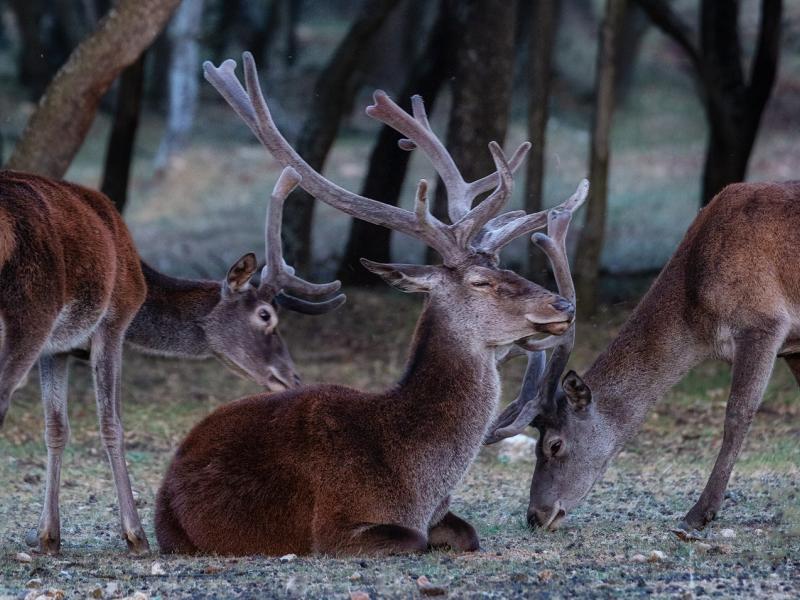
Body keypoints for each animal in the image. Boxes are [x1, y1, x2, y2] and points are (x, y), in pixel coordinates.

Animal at [0, 166, 340, 556]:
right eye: (266, 315)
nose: (292, 378)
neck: (141, 283)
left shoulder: (58, 347)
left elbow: (56, 428)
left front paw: (48, 537)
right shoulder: (113, 322)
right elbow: (112, 423)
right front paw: (136, 536)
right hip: (31, 310)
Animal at [152, 52, 588, 556]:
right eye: (481, 281)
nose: (563, 304)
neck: (417, 478)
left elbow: (469, 532)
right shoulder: (336, 525)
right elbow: (413, 539)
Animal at [484, 179, 800, 536]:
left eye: (555, 444)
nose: (535, 516)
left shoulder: (763, 321)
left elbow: (737, 414)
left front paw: (699, 514)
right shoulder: (793, 343)